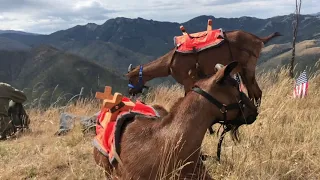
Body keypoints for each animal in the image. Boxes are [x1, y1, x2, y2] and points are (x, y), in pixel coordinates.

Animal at [126, 29, 282, 105]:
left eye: (131, 79)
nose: (130, 92)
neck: (169, 61)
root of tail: (258, 39)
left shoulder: (187, 80)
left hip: (248, 67)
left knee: (257, 92)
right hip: (243, 70)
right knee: (253, 92)